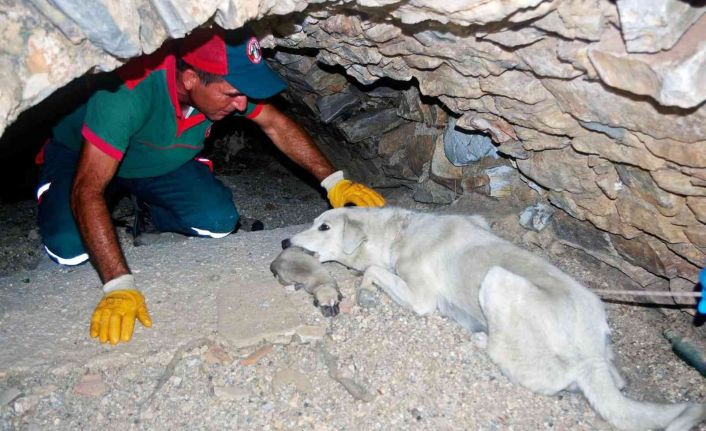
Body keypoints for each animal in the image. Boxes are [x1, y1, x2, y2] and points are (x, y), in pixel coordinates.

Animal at [284, 208, 704, 430]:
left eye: (324, 226)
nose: (285, 242)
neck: (398, 233)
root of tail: (591, 359)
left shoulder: (420, 299)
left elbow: (372, 270)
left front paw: (365, 290)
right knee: (615, 381)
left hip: (497, 281)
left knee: (530, 369)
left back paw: (482, 338)